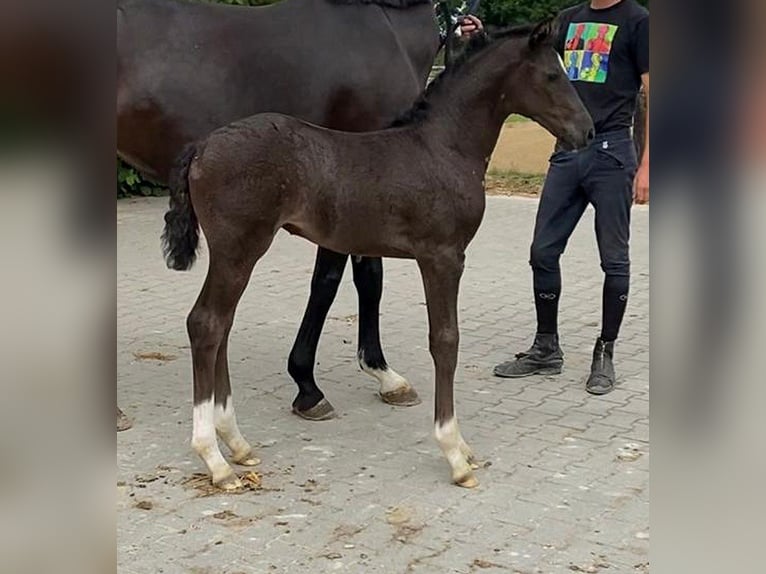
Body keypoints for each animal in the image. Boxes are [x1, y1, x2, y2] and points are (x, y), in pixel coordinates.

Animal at [160, 21, 592, 490]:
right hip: (238, 249)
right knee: (206, 324)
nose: (587, 131)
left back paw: (237, 444)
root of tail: (202, 146)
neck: (444, 147)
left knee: (220, 325)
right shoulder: (442, 256)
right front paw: (454, 452)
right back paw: (215, 460)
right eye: (552, 75)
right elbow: (445, 341)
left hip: (235, 254)